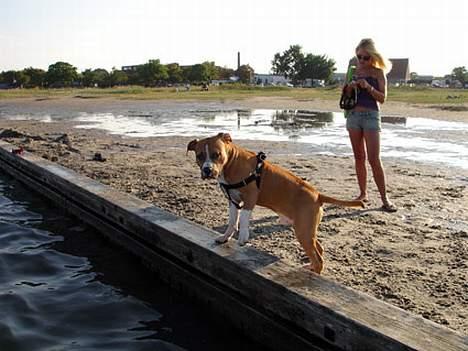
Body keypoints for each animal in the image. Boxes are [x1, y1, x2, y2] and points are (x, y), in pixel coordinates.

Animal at [187, 133, 366, 274]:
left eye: (217, 154)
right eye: (199, 155)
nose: (207, 170)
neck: (231, 163)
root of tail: (317, 195)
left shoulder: (250, 197)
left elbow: (243, 218)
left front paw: (243, 237)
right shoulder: (233, 201)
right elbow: (232, 221)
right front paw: (225, 237)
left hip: (303, 232)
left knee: (318, 259)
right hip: (307, 231)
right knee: (319, 249)